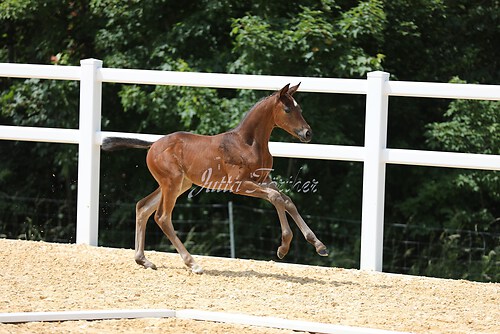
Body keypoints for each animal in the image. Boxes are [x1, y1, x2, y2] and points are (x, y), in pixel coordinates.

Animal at [101, 82, 328, 272]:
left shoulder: (263, 180)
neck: (248, 143)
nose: (308, 133)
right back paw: (192, 263)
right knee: (162, 217)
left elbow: (286, 200)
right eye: (288, 110)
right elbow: (276, 198)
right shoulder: (238, 185)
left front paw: (317, 245)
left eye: (300, 109)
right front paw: (284, 246)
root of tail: (153, 145)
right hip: (172, 183)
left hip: (178, 184)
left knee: (143, 207)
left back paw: (143, 260)